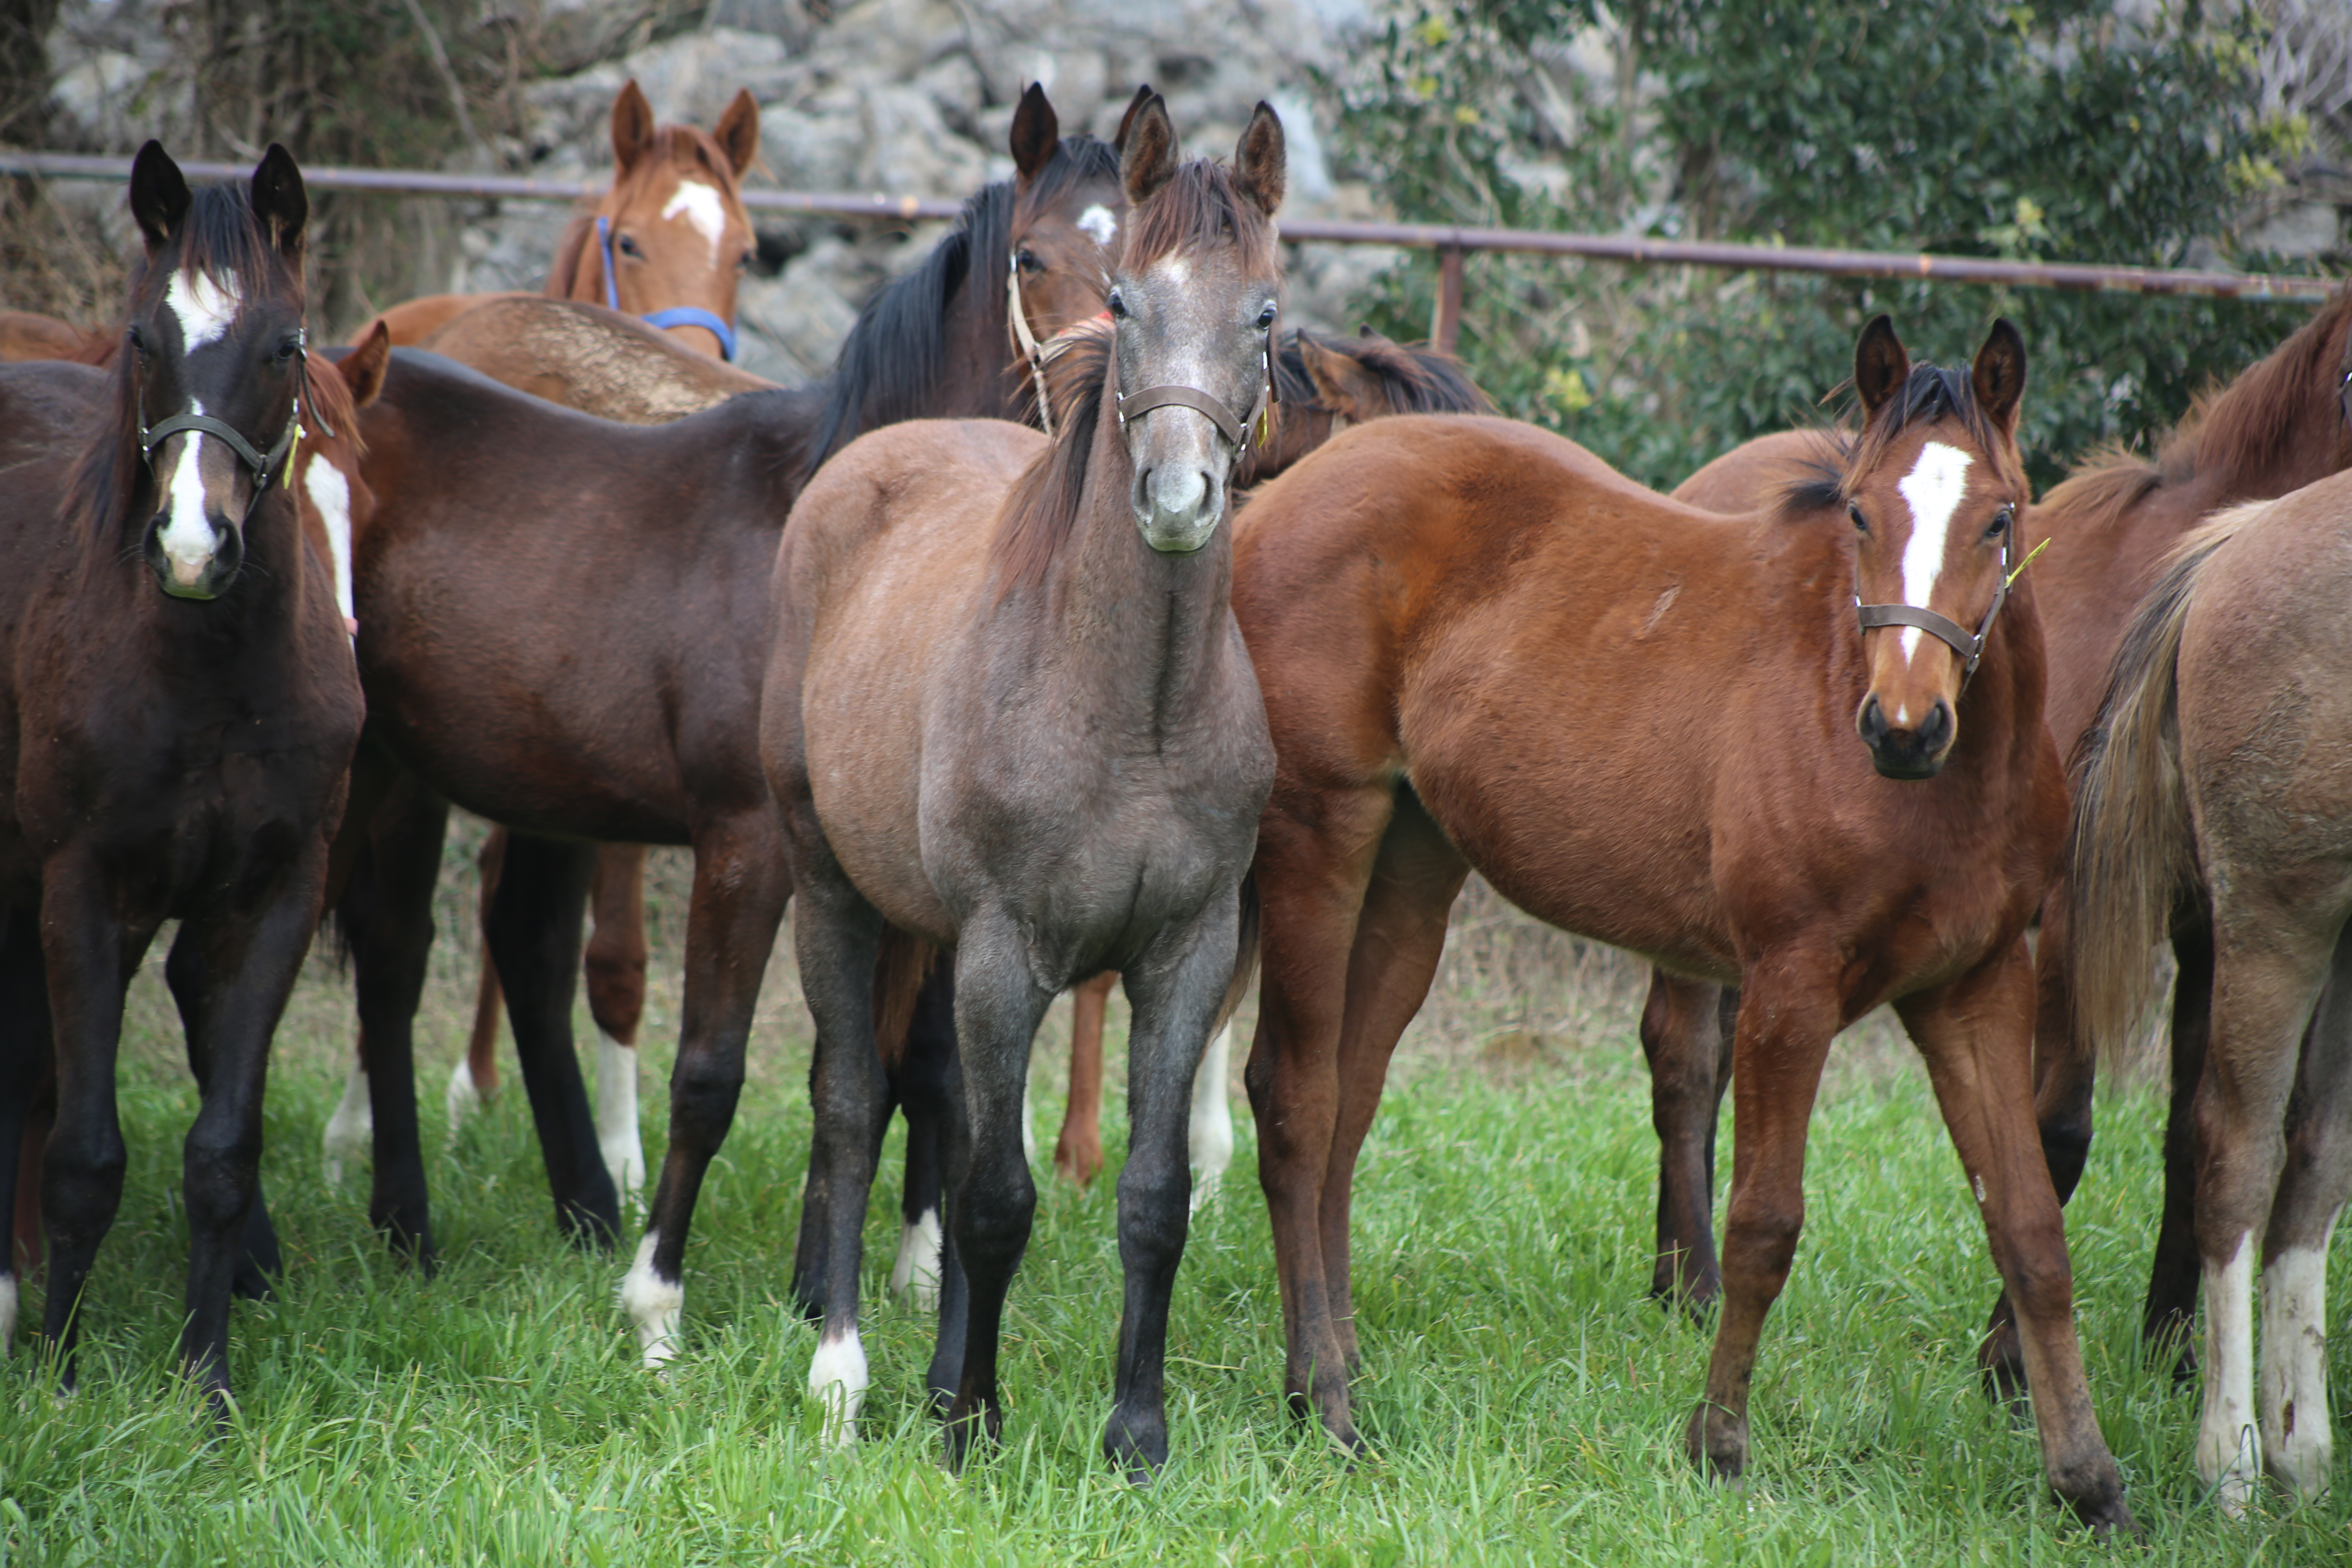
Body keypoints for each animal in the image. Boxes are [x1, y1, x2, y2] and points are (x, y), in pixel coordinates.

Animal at [0, 144, 364, 1410]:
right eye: (145, 338)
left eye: (284, 344)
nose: (194, 546)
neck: (210, 674)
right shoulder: (78, 891)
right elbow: (83, 1153)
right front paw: (60, 1379)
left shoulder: (270, 902)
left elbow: (221, 1154)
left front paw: (207, 1386)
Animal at [327, 86, 1134, 1269]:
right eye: (1030, 258)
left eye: (1147, 262)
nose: (1102, 396)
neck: (852, 529)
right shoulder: (749, 842)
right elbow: (721, 1072)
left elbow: (889, 1067)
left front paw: (860, 1274)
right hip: (388, 773)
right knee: (387, 960)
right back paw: (404, 1223)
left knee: (512, 942)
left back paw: (580, 1206)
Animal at [757, 98, 1289, 1476]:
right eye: (1127, 299)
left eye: (1266, 313)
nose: (1177, 498)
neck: (1129, 712)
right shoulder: (1006, 951)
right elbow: (995, 1196)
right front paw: (971, 1427)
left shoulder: (1186, 954)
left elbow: (1152, 1196)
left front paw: (1135, 1433)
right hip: (828, 887)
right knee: (851, 1104)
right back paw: (842, 1373)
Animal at [1242, 319, 2145, 1532]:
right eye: (1858, 512)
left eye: (2000, 517)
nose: (1902, 727)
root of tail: (1284, 493)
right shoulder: (1787, 988)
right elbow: (1763, 1223)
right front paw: (1716, 1443)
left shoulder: (1974, 988)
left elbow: (2032, 1230)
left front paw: (2088, 1480)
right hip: (1319, 839)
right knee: (1295, 1104)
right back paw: (1325, 1405)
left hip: (1411, 870)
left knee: (1346, 1105)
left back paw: (1331, 1370)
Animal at [2069, 463, 2352, 1504]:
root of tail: (2241, 537)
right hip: (2280, 914)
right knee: (2236, 1155)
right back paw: (2230, 1458)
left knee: (2312, 1164)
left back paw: (2302, 1454)